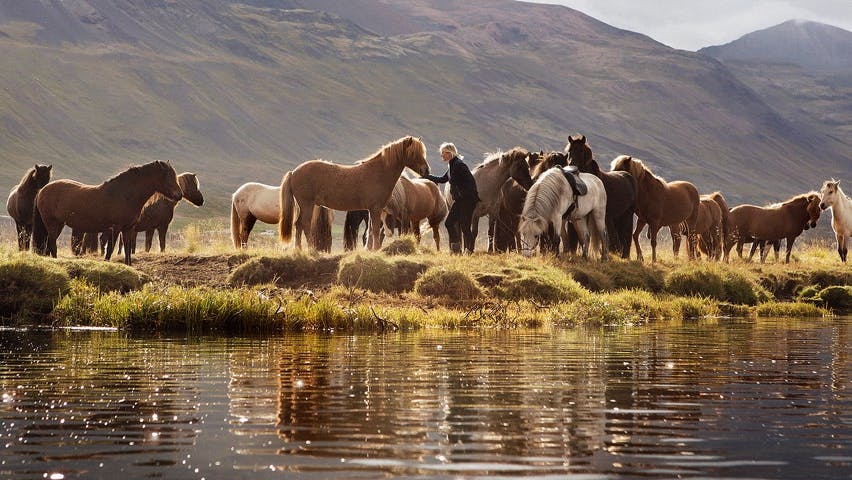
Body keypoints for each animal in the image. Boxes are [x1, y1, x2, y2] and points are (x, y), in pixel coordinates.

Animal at [31, 161, 181, 266]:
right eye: (167, 176)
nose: (179, 195)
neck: (125, 194)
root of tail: (42, 190)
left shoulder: (128, 228)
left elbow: (127, 248)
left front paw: (128, 266)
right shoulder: (115, 227)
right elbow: (110, 248)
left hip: (59, 224)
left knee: (50, 243)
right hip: (51, 223)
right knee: (52, 243)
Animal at [280, 133, 430, 249]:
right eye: (414, 153)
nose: (426, 171)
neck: (378, 172)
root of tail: (293, 172)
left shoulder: (372, 210)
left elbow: (370, 231)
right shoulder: (376, 209)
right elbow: (376, 231)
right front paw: (375, 250)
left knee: (298, 224)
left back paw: (299, 250)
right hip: (307, 204)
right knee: (305, 224)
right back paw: (311, 251)